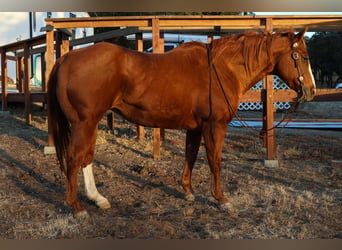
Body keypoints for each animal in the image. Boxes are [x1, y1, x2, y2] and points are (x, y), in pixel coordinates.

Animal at [47, 27, 316, 217]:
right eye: (303, 57)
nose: (311, 91)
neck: (221, 69)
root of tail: (67, 58)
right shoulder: (214, 126)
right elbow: (215, 161)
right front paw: (221, 199)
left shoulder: (195, 128)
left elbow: (191, 155)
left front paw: (187, 191)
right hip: (84, 123)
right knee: (74, 158)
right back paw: (77, 207)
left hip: (89, 124)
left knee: (86, 158)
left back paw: (97, 198)